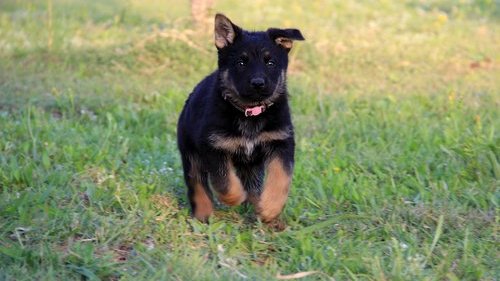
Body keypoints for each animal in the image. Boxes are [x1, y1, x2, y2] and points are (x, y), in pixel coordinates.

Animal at [178, 13, 306, 222]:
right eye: (241, 63)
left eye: (270, 63)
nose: (258, 83)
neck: (250, 112)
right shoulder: (213, 146)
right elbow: (225, 181)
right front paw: (235, 197)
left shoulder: (281, 142)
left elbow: (281, 177)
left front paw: (270, 208)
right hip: (190, 153)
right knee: (197, 184)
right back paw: (203, 215)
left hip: (252, 166)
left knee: (254, 186)